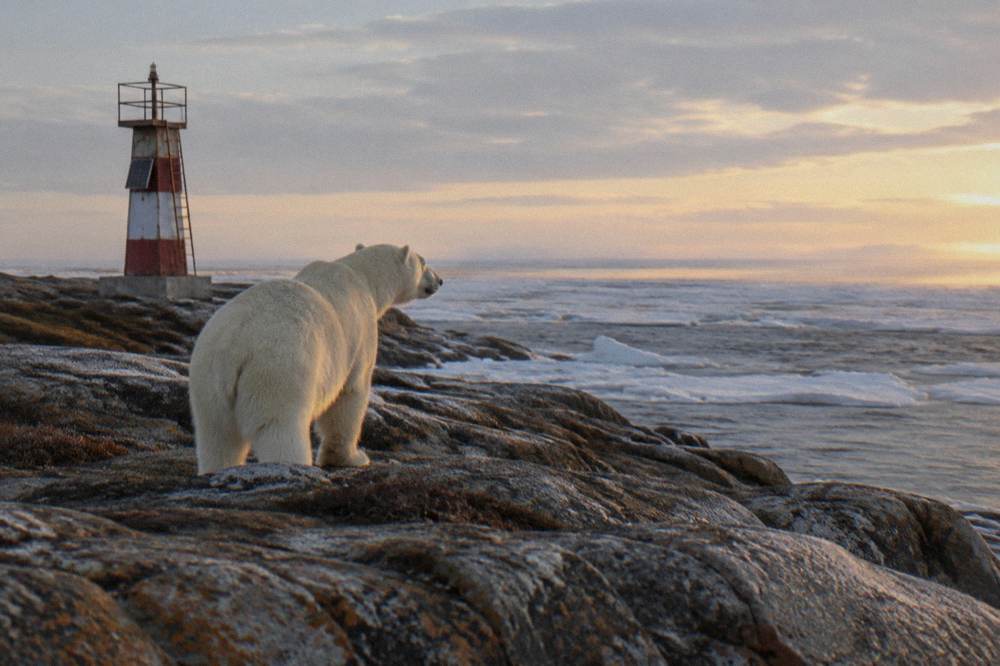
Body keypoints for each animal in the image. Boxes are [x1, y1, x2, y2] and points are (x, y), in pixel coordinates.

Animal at [189, 243, 442, 474]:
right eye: (423, 262)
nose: (440, 280)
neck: (364, 278)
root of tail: (234, 344)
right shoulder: (359, 335)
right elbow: (350, 396)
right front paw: (353, 457)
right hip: (278, 370)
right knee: (280, 428)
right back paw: (295, 465)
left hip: (208, 377)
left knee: (217, 435)